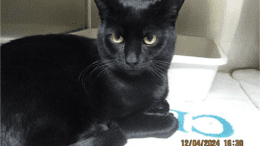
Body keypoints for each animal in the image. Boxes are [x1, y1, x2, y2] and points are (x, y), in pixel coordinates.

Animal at [1, 0, 185, 145]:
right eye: (116, 38)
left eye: (150, 39)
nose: (131, 60)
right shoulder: (114, 118)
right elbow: (170, 123)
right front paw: (165, 117)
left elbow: (163, 103)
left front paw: (158, 107)